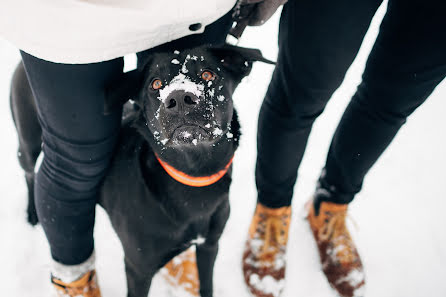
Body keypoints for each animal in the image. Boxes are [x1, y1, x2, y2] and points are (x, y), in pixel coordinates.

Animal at [10, 44, 274, 296]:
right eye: (155, 84)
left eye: (208, 74)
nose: (179, 98)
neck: (193, 175)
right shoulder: (138, 269)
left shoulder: (209, 245)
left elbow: (206, 285)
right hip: (30, 142)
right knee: (30, 172)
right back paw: (32, 213)